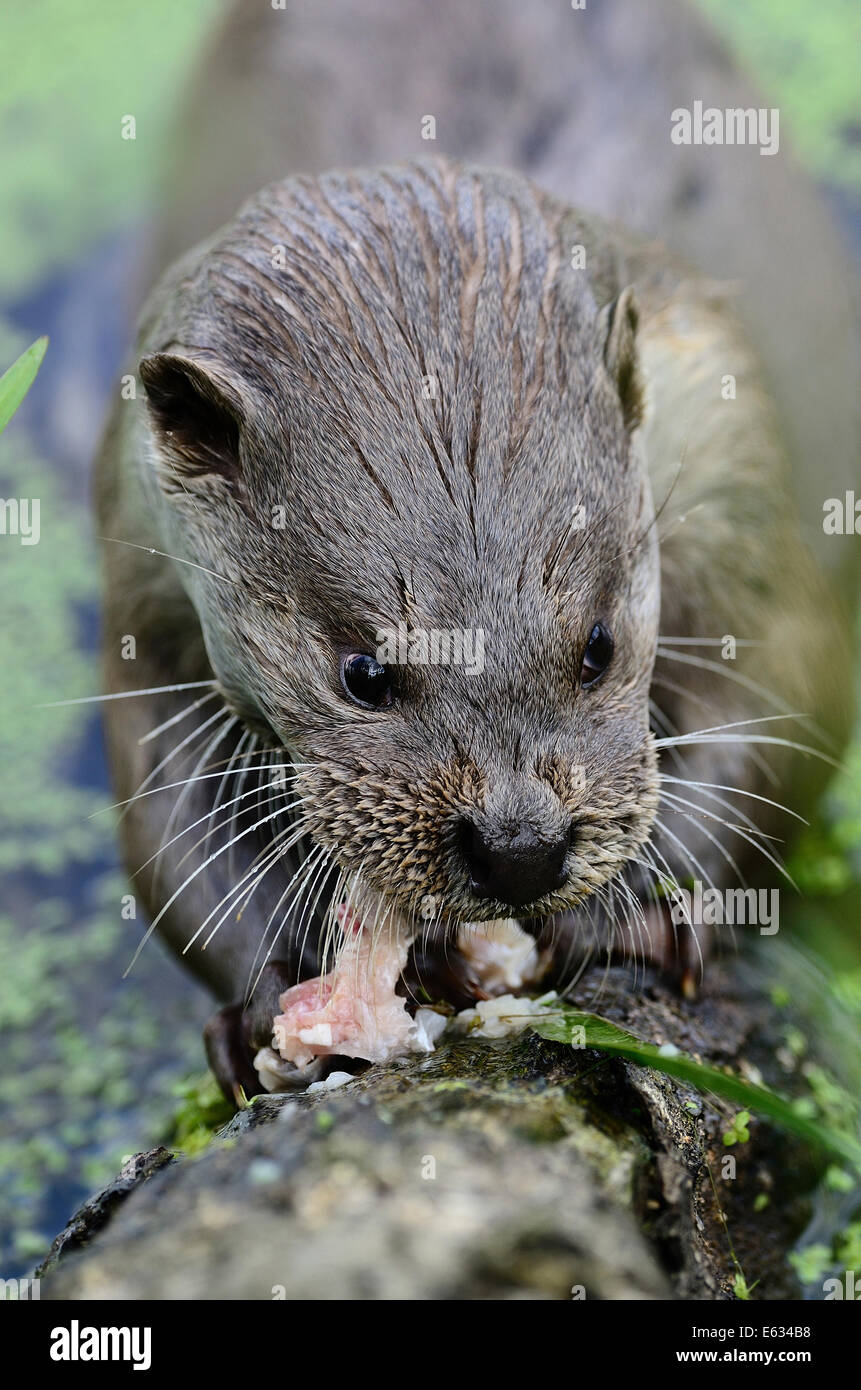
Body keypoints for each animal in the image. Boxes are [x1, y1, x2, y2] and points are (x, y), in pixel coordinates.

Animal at [95, 4, 855, 1102]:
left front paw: (629, 912)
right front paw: (275, 985)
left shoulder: (736, 466)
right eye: (363, 673)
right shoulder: (141, 579)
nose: (520, 844)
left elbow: (783, 711)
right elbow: (165, 820)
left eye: (598, 647)